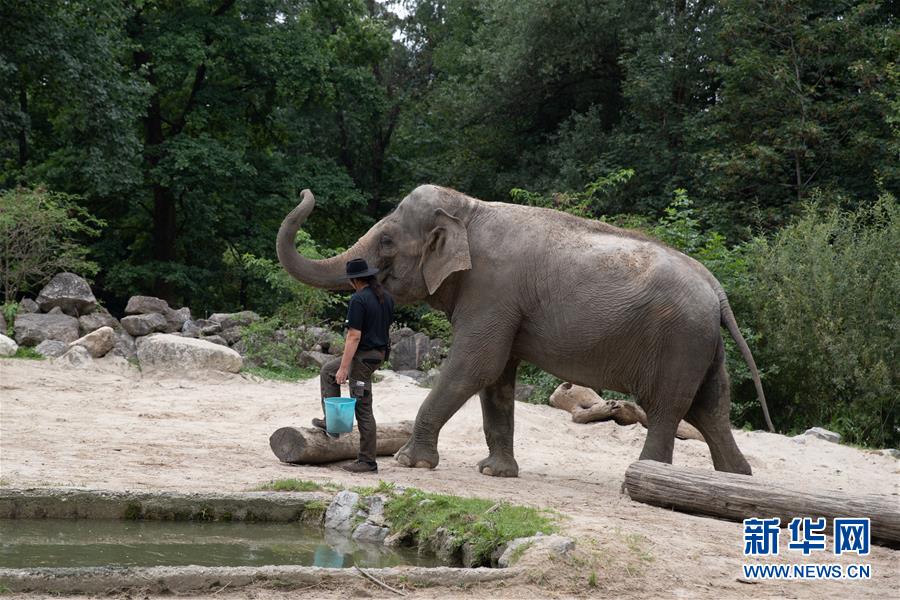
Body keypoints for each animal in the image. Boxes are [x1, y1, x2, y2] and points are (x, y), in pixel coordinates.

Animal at [276, 185, 772, 476]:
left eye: (386, 241)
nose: (305, 192)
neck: (468, 209)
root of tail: (718, 290)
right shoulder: (502, 303)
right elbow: (497, 377)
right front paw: (495, 472)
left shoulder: (492, 290)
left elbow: (475, 364)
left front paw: (409, 463)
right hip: (702, 344)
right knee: (712, 408)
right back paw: (736, 479)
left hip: (679, 341)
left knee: (669, 407)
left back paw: (647, 477)